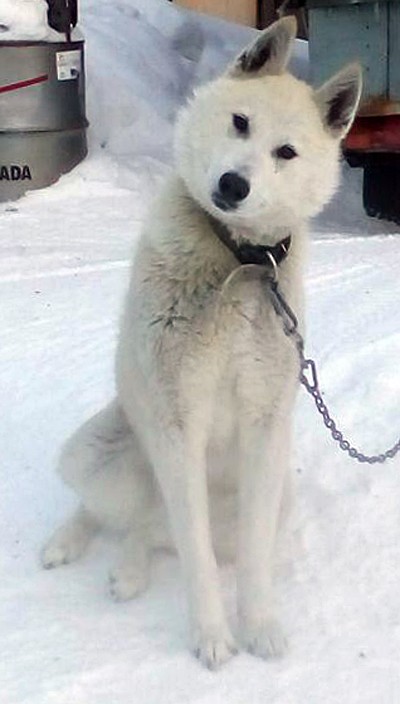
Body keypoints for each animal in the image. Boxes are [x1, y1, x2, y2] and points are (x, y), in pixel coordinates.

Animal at [41, 16, 362, 669]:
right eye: (240, 123)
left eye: (286, 153)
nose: (234, 184)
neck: (239, 259)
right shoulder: (176, 424)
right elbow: (197, 560)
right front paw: (213, 636)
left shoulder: (265, 430)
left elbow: (245, 561)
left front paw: (259, 626)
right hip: (98, 450)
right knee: (116, 514)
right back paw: (70, 543)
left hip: (273, 497)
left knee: (151, 532)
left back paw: (130, 570)